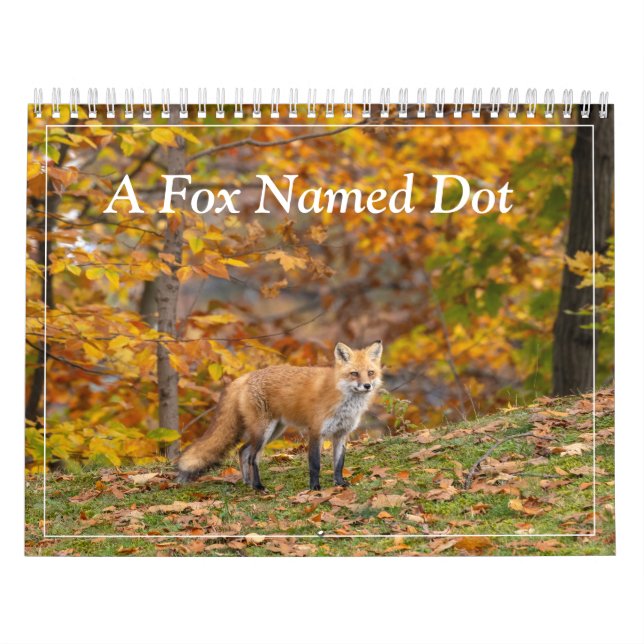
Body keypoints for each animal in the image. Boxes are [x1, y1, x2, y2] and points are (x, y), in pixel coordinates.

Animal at [176, 340, 383, 491]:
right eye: (354, 373)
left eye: (370, 372)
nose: (367, 386)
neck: (343, 397)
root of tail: (245, 377)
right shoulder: (316, 431)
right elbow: (315, 464)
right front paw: (315, 488)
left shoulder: (341, 433)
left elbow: (339, 463)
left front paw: (340, 483)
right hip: (264, 431)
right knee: (252, 457)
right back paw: (258, 486)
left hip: (273, 431)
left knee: (242, 450)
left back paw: (247, 482)